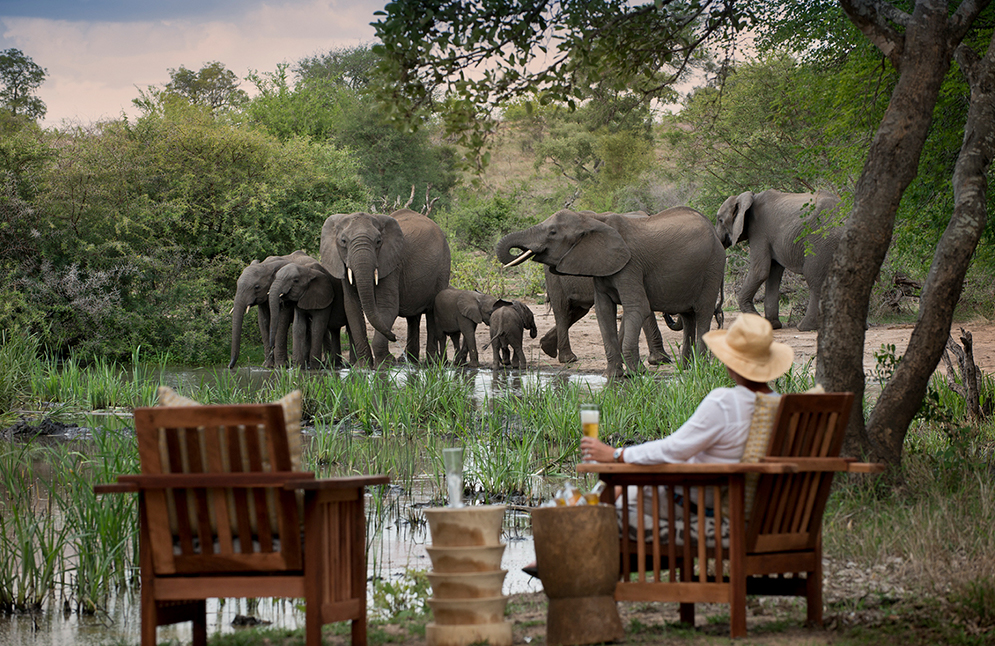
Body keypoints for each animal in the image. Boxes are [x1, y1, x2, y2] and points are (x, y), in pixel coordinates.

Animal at [322, 210, 452, 368]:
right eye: (343, 241)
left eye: (378, 241)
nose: (395, 337)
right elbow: (352, 308)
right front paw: (363, 366)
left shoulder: (391, 265)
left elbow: (387, 307)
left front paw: (385, 364)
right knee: (413, 318)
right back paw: (410, 362)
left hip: (443, 268)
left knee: (431, 311)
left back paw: (431, 363)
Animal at [498, 208, 724, 380]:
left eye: (552, 232)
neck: (595, 222)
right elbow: (604, 311)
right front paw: (614, 376)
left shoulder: (631, 265)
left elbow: (638, 307)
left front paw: (637, 372)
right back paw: (687, 367)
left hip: (712, 268)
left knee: (702, 312)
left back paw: (699, 368)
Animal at [716, 186, 840, 330]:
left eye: (720, 220)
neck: (748, 197)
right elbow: (773, 274)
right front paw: (773, 325)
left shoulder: (759, 231)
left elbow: (760, 271)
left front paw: (758, 321)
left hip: (821, 242)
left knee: (814, 278)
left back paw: (804, 327)